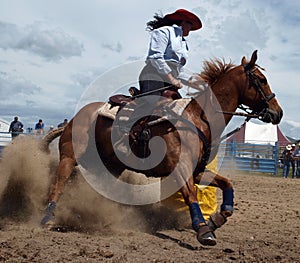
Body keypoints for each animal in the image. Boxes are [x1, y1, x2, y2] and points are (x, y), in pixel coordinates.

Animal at [41, 51, 282, 248]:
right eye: (262, 80)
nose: (278, 112)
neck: (197, 118)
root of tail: (75, 118)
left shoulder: (196, 171)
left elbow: (227, 184)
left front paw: (217, 219)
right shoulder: (181, 169)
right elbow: (191, 195)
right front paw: (203, 230)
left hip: (109, 165)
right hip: (69, 156)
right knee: (58, 183)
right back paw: (48, 217)